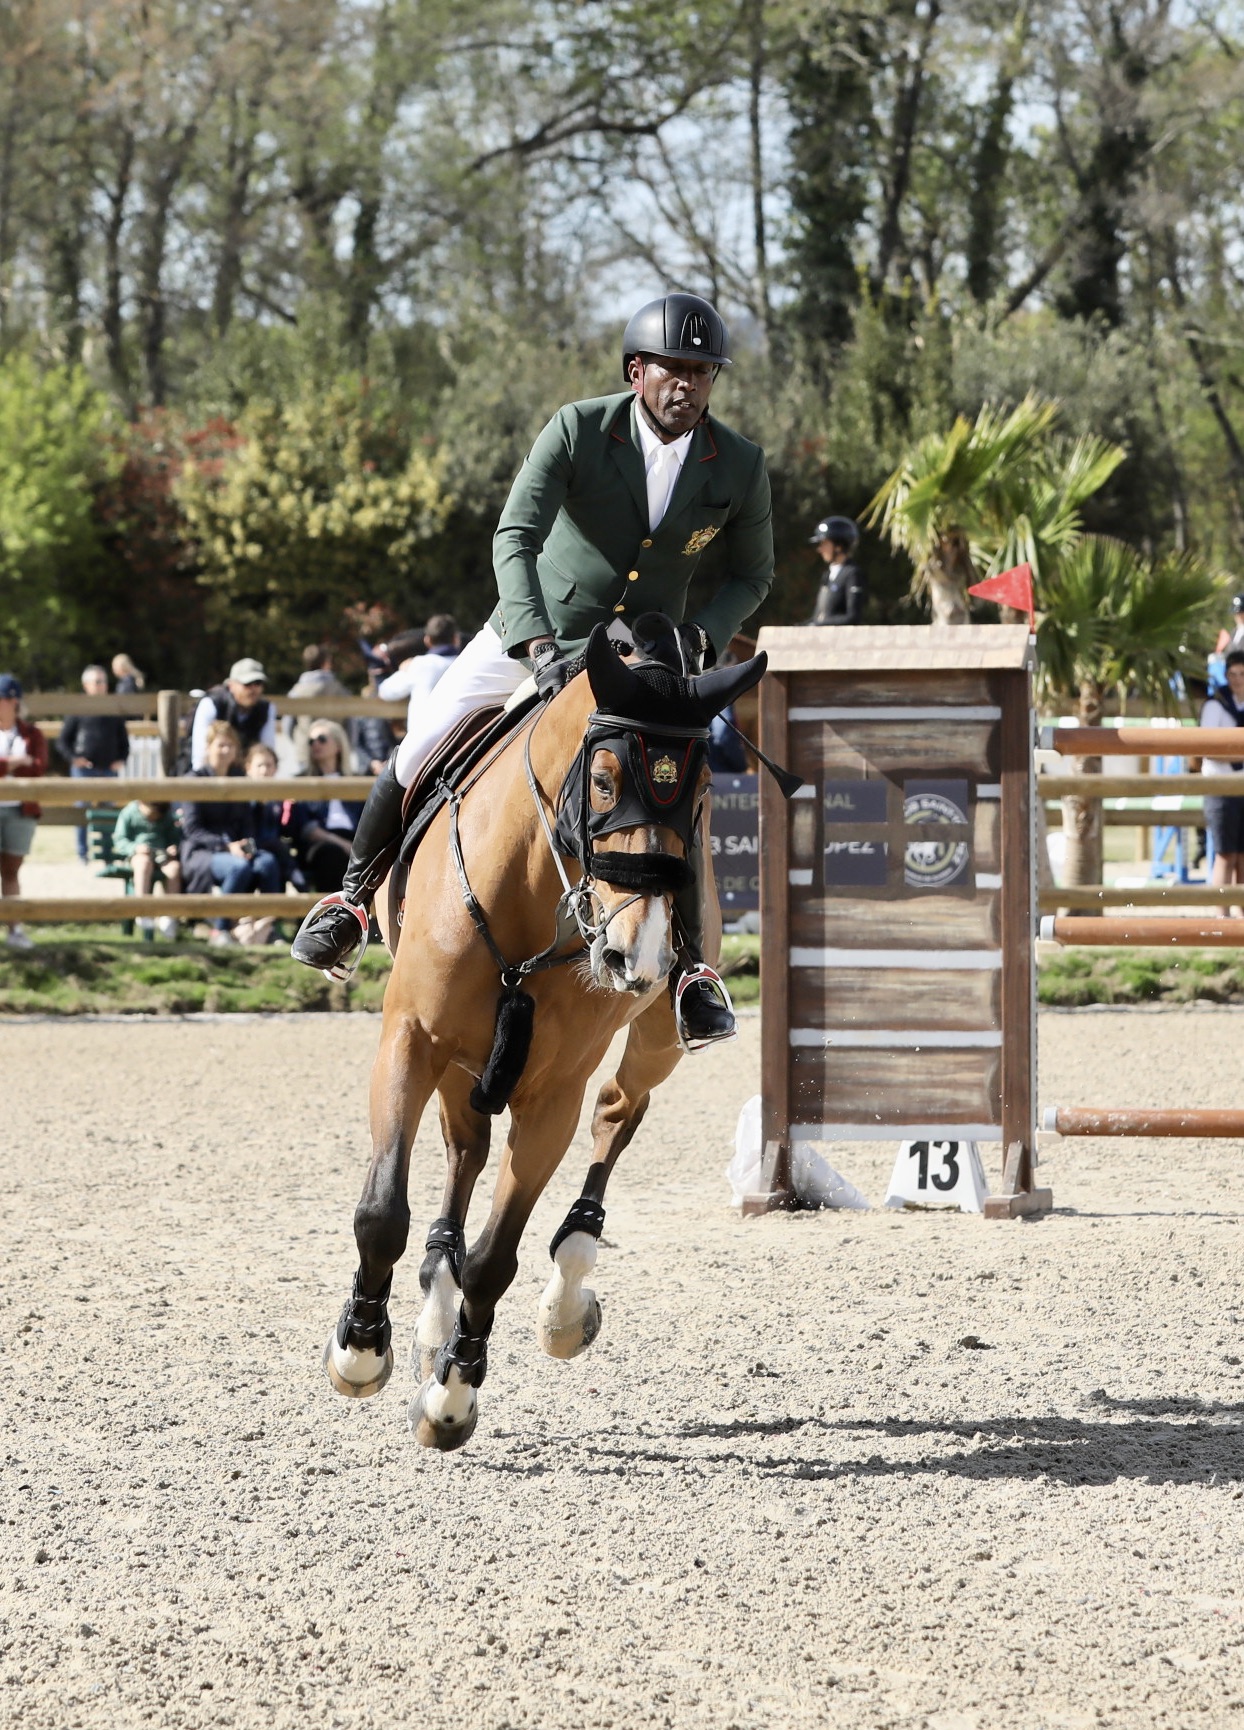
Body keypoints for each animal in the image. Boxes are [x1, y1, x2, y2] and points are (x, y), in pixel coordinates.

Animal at [322, 621, 767, 1450]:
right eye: (604, 781)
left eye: (700, 796)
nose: (637, 954)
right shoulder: (413, 1040)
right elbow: (382, 1211)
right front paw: (361, 1349)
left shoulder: (552, 1094)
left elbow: (497, 1258)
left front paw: (452, 1396)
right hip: (462, 1059)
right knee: (464, 1152)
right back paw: (433, 1298)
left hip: (653, 1040)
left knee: (618, 1113)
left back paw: (564, 1295)